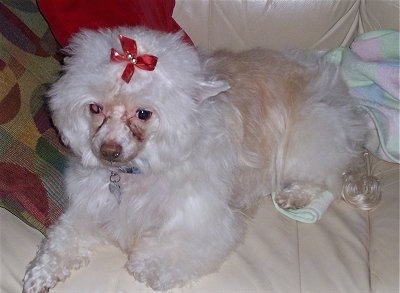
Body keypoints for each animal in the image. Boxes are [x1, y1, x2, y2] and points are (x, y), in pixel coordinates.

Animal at [21, 26, 366, 290]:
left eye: (143, 113)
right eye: (95, 108)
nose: (108, 151)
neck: (137, 174)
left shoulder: (205, 221)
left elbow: (164, 254)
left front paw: (148, 265)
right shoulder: (91, 209)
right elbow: (62, 240)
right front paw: (41, 274)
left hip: (308, 137)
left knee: (327, 175)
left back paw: (294, 195)